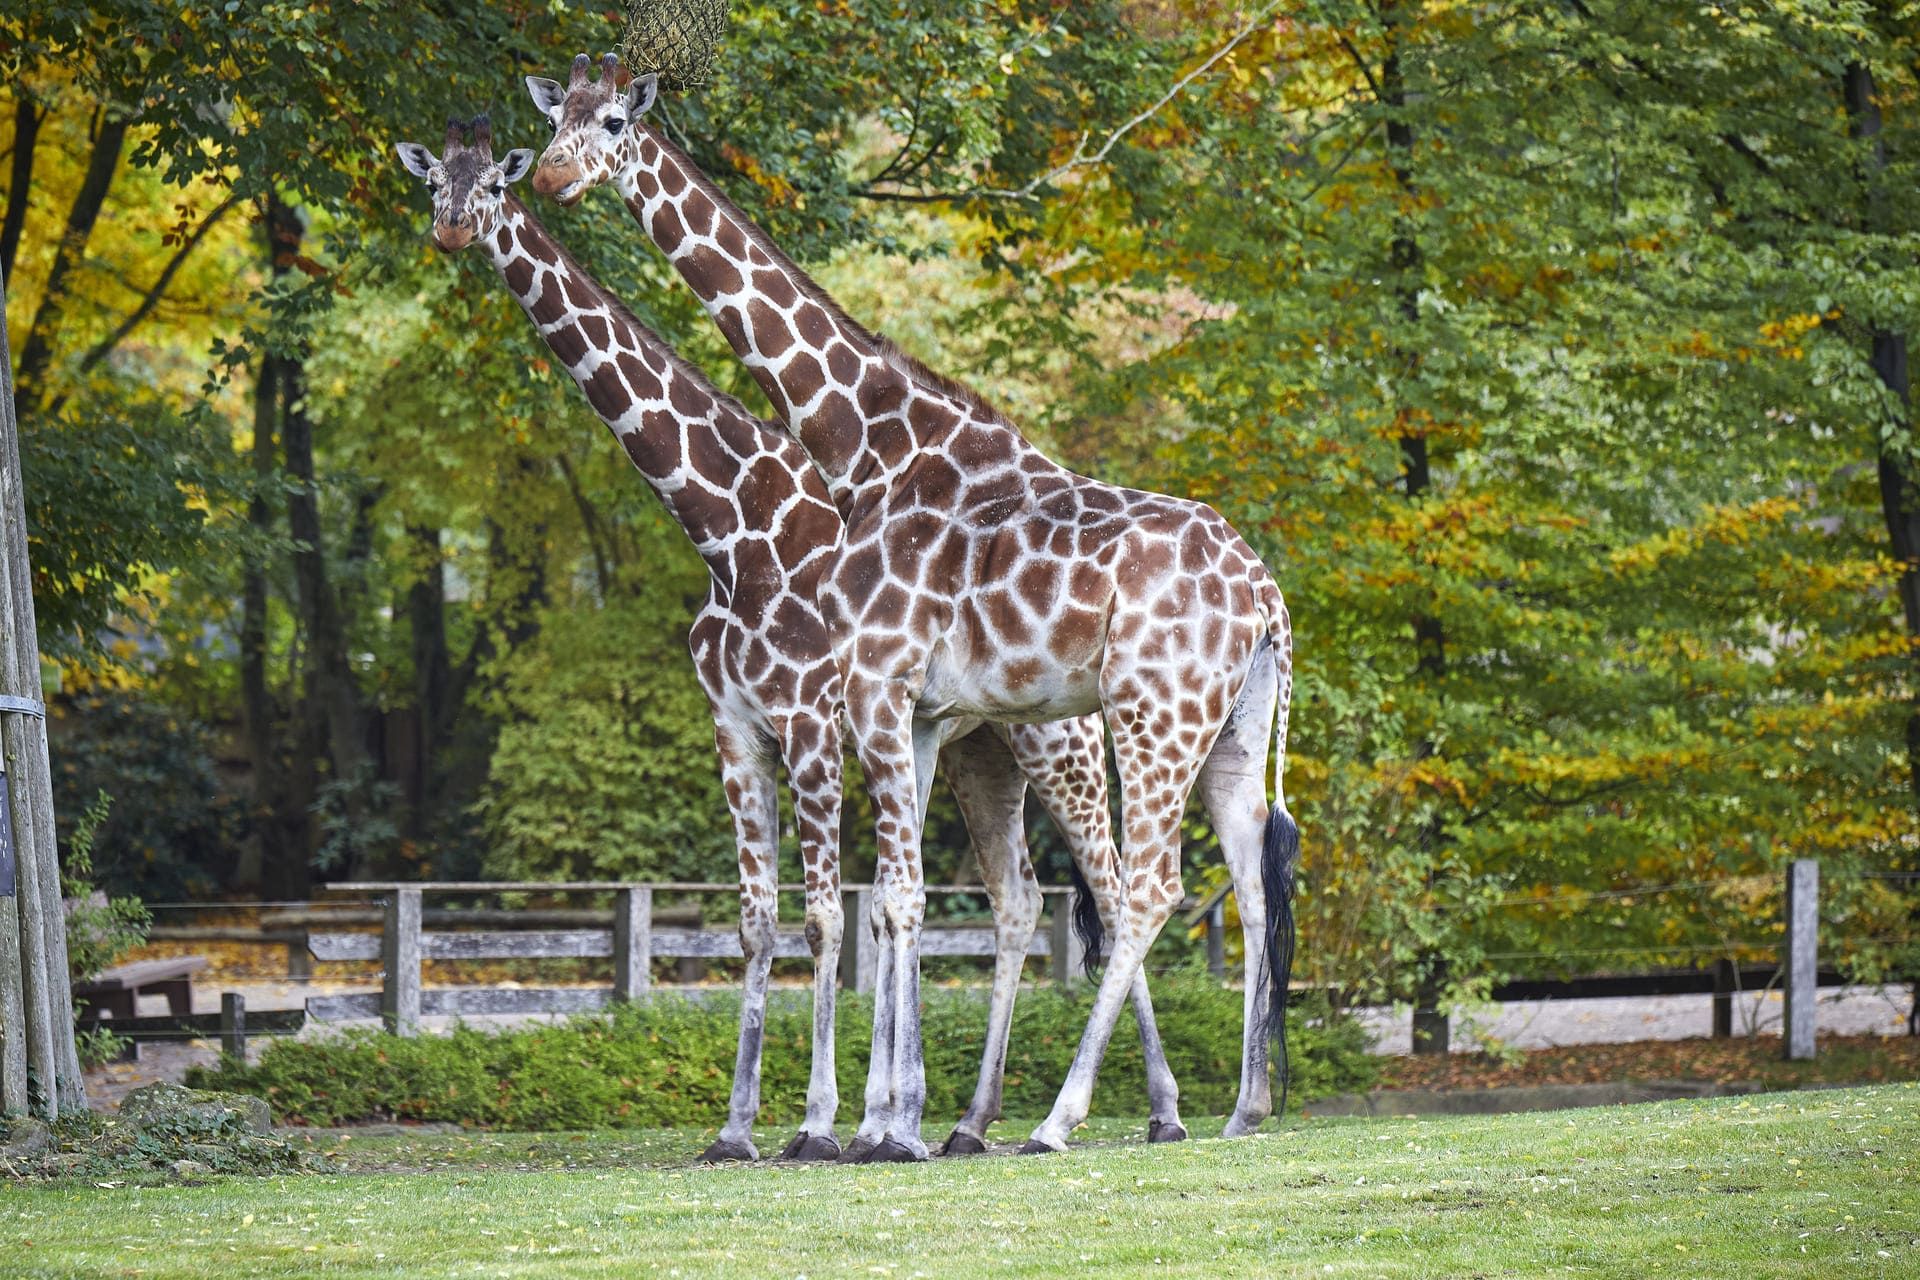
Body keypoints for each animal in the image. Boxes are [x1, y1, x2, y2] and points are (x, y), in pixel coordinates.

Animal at [395, 114, 1187, 1160]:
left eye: (488, 186)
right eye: (433, 182)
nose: (450, 229)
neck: (732, 528)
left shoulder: (810, 723)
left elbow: (828, 922)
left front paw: (821, 1123)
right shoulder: (740, 727)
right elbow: (776, 920)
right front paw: (755, 1128)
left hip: (1060, 745)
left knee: (1112, 881)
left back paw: (1156, 1110)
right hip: (983, 756)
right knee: (1018, 901)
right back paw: (971, 1121)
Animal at [531, 55, 1298, 1160]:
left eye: (613, 125)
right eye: (557, 119)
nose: (549, 175)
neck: (867, 444)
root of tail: (1268, 593)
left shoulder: (857, 695)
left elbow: (869, 904)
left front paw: (853, 1128)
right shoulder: (909, 707)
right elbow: (895, 902)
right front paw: (885, 1121)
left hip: (1143, 714)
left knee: (1142, 889)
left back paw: (1064, 1119)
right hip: (1224, 725)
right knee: (1230, 879)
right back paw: (1232, 1108)